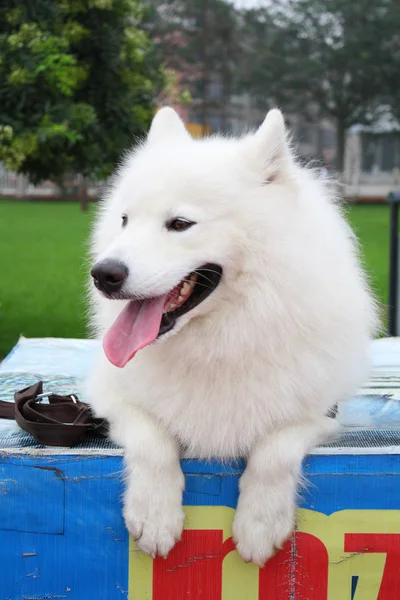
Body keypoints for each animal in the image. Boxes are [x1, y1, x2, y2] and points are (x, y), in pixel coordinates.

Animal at [86, 109, 378, 568]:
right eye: (124, 221)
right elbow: (152, 438)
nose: (103, 275)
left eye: (180, 224)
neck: (220, 340)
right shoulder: (109, 395)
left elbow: (276, 447)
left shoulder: (319, 410)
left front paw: (260, 522)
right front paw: (155, 514)